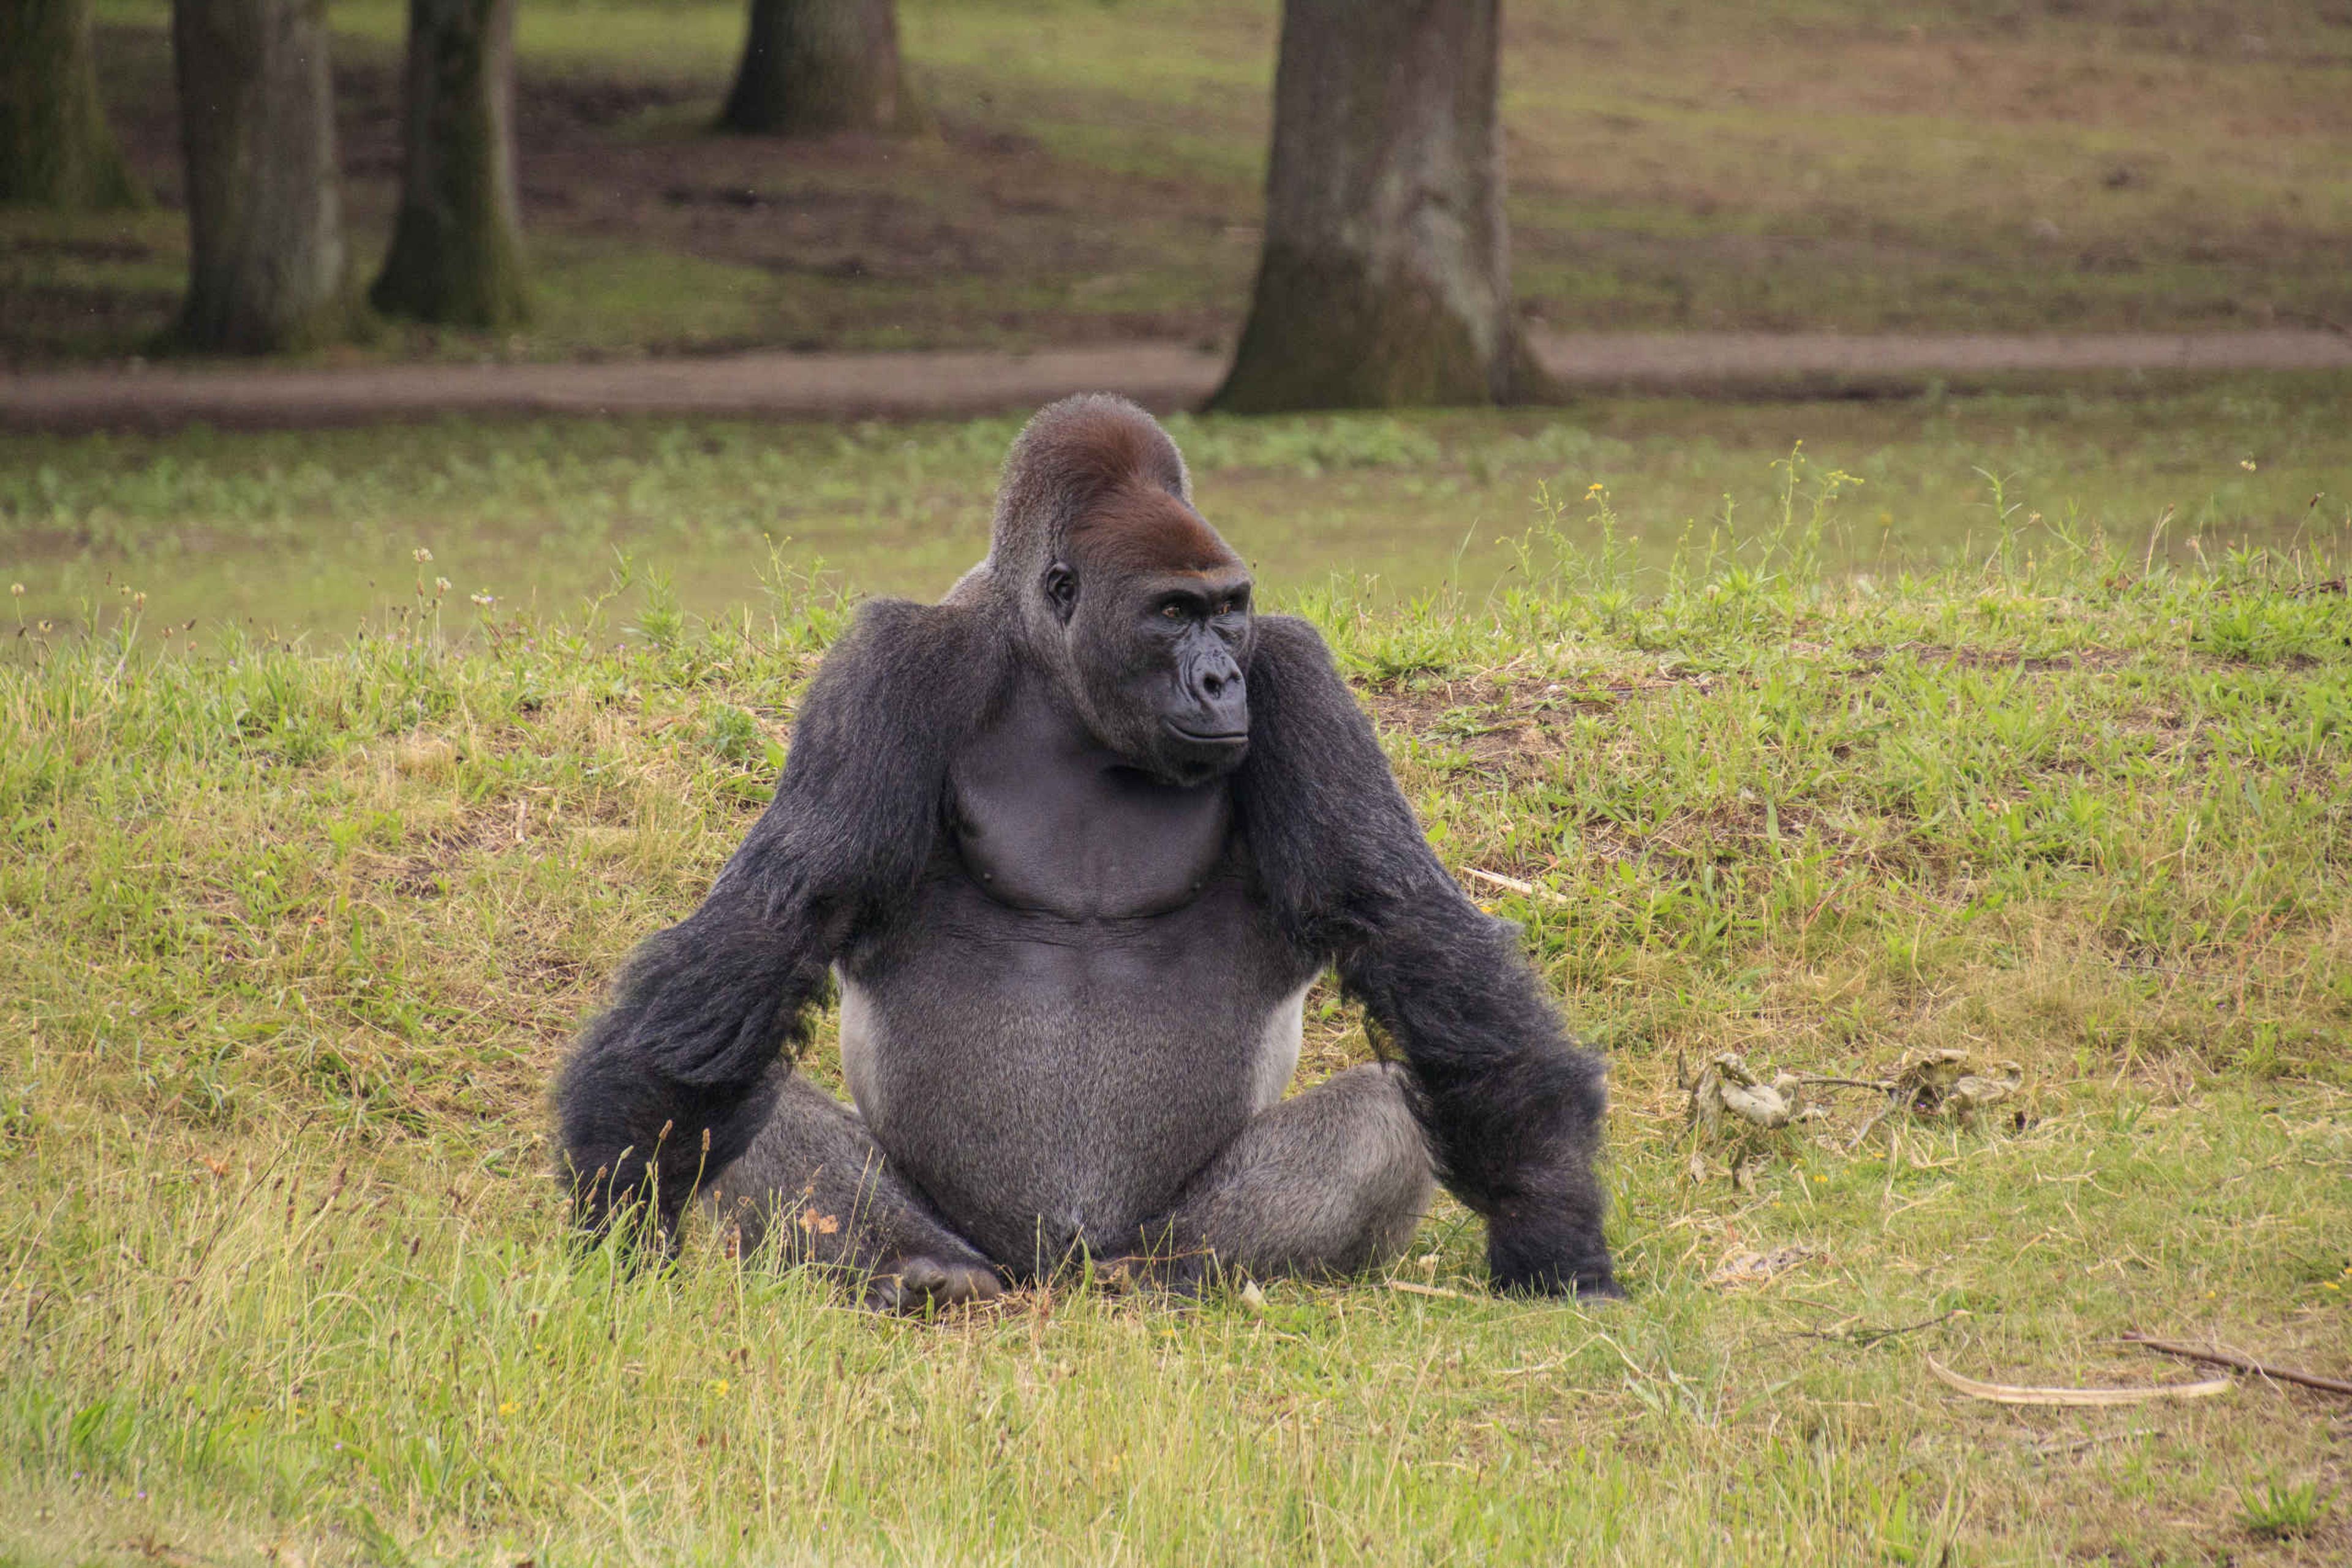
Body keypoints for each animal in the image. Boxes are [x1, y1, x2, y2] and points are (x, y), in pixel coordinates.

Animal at [553, 395, 1617, 1310]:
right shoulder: (887, 668)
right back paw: (918, 1265)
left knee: (1381, 1121)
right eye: (1172, 613)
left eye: (1229, 609)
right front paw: (621, 1202)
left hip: (1137, 1234)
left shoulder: (1296, 675)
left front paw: (1549, 1223)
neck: (1058, 678)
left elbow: (1406, 928)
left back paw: (1179, 1271)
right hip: (977, 1233)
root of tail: (1053, 1268)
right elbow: (774, 924)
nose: (1221, 680)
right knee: (759, 1109)